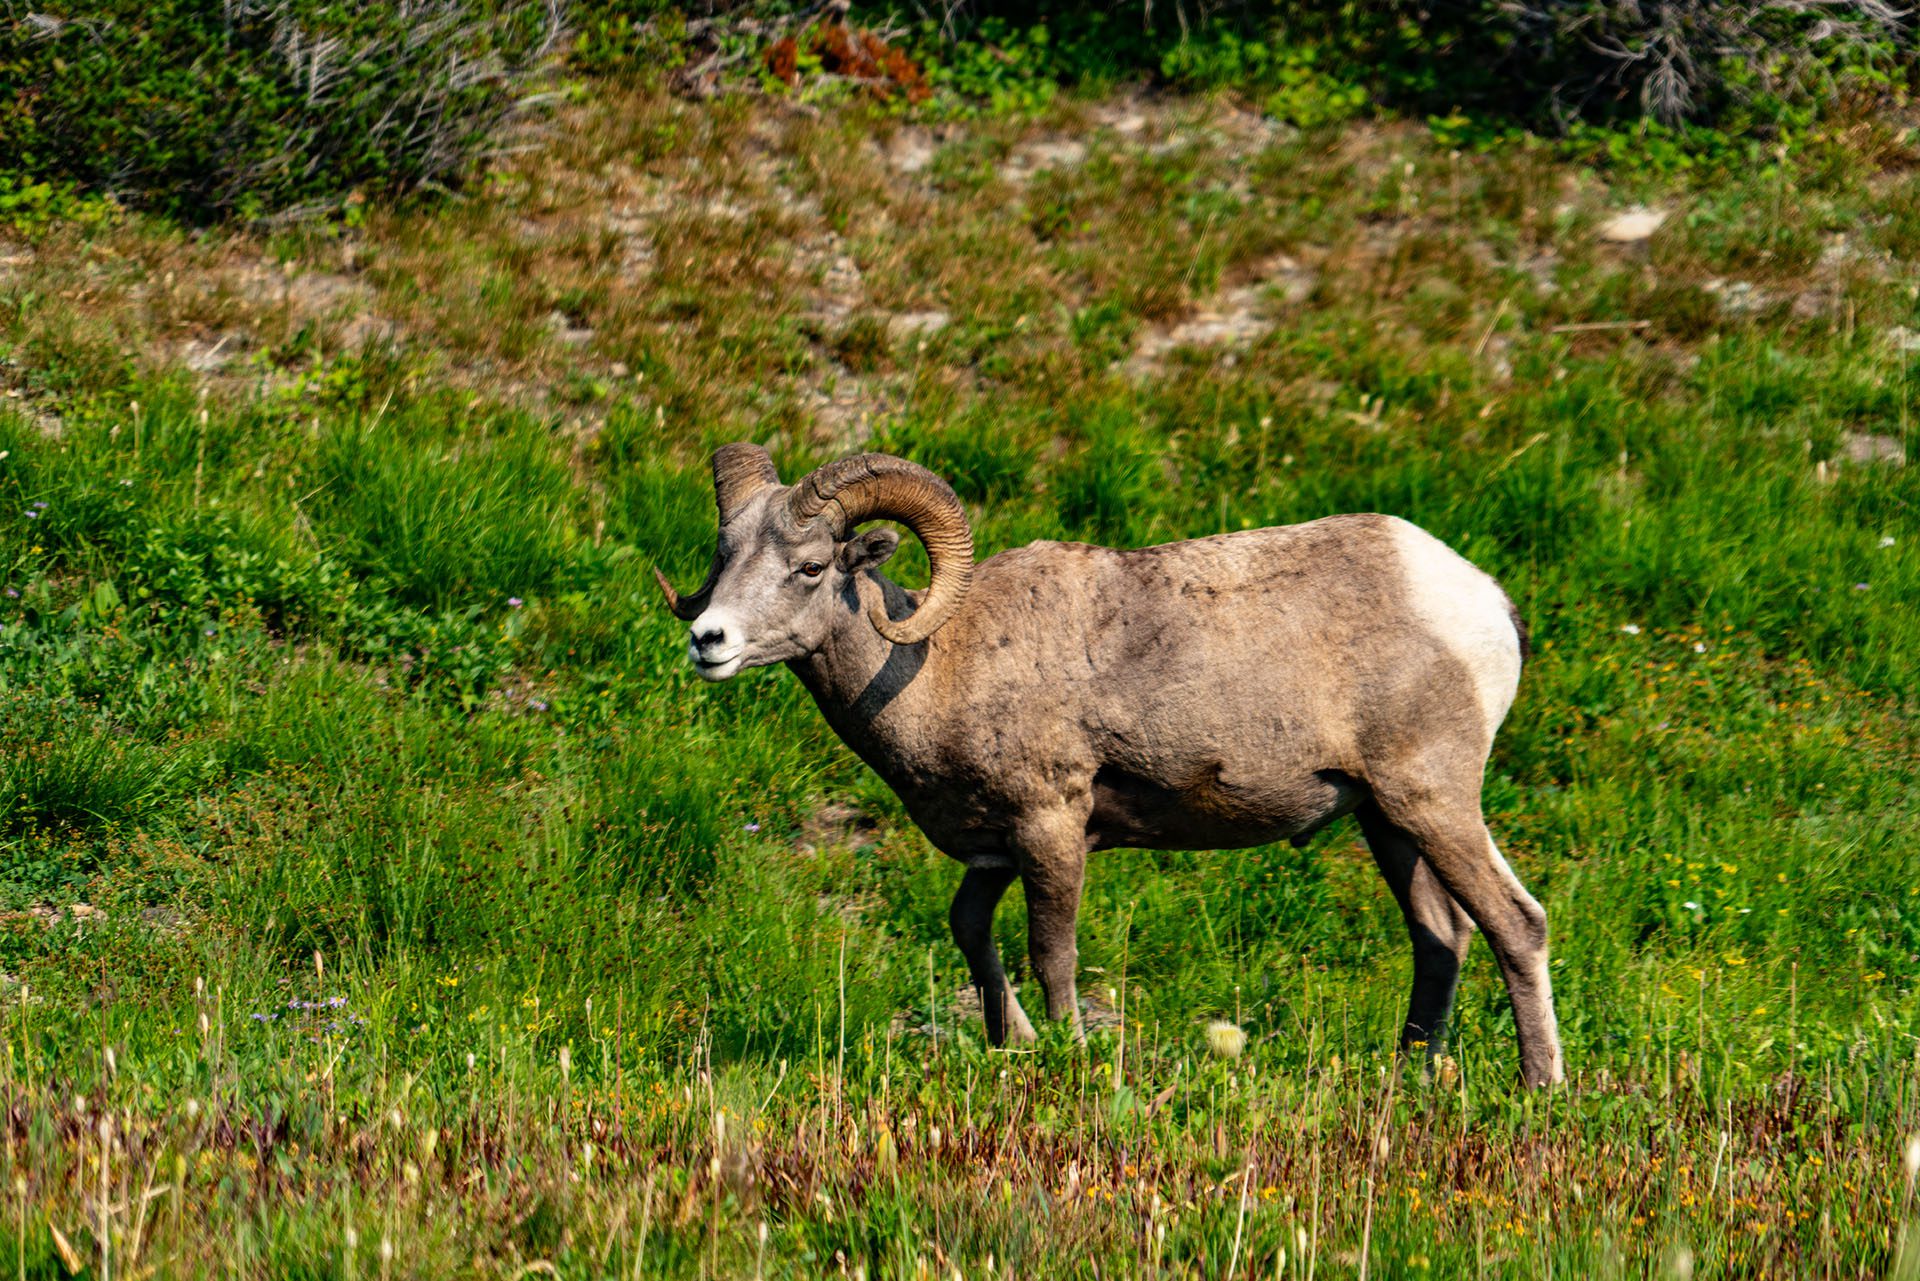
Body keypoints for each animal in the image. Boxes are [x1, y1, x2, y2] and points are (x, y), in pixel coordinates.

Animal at [656, 445, 1559, 1090]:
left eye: (810, 567)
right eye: (725, 555)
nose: (709, 641)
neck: (938, 667)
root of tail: (1483, 600)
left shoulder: (1052, 829)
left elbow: (1051, 952)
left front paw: (1067, 1057)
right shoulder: (994, 854)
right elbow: (970, 932)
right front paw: (1013, 1045)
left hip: (1432, 799)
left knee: (1516, 922)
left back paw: (1538, 1086)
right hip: (1386, 820)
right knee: (1441, 937)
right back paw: (1408, 1077)